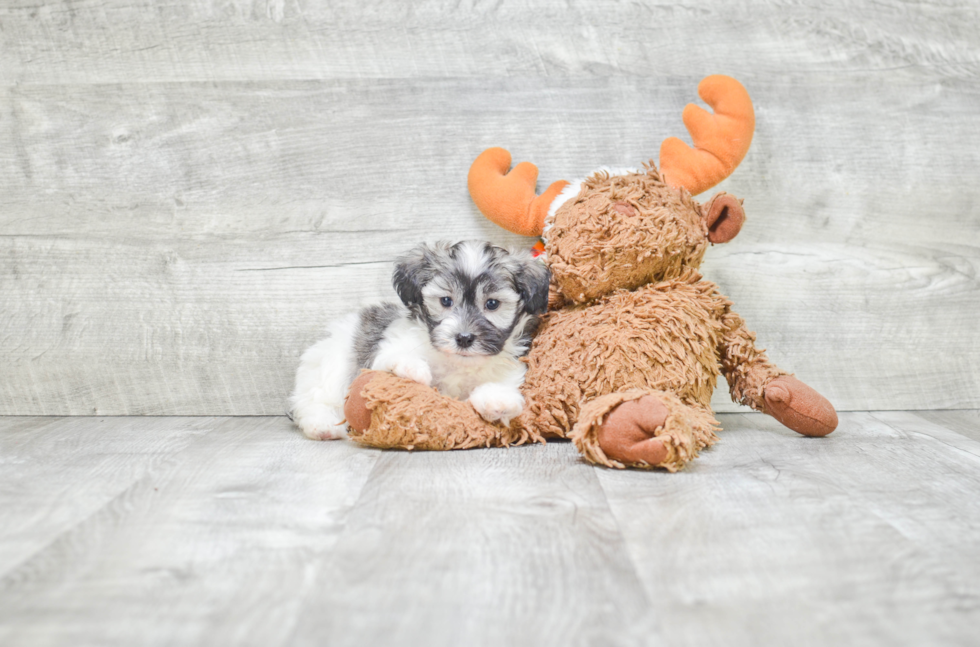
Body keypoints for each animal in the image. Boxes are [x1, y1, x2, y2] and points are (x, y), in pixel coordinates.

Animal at [290, 240, 552, 442]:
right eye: (446, 301)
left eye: (492, 304)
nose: (464, 338)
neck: (457, 363)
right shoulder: (386, 349)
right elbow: (393, 359)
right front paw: (412, 368)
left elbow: (502, 384)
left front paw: (497, 399)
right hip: (331, 365)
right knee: (316, 398)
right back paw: (323, 425)